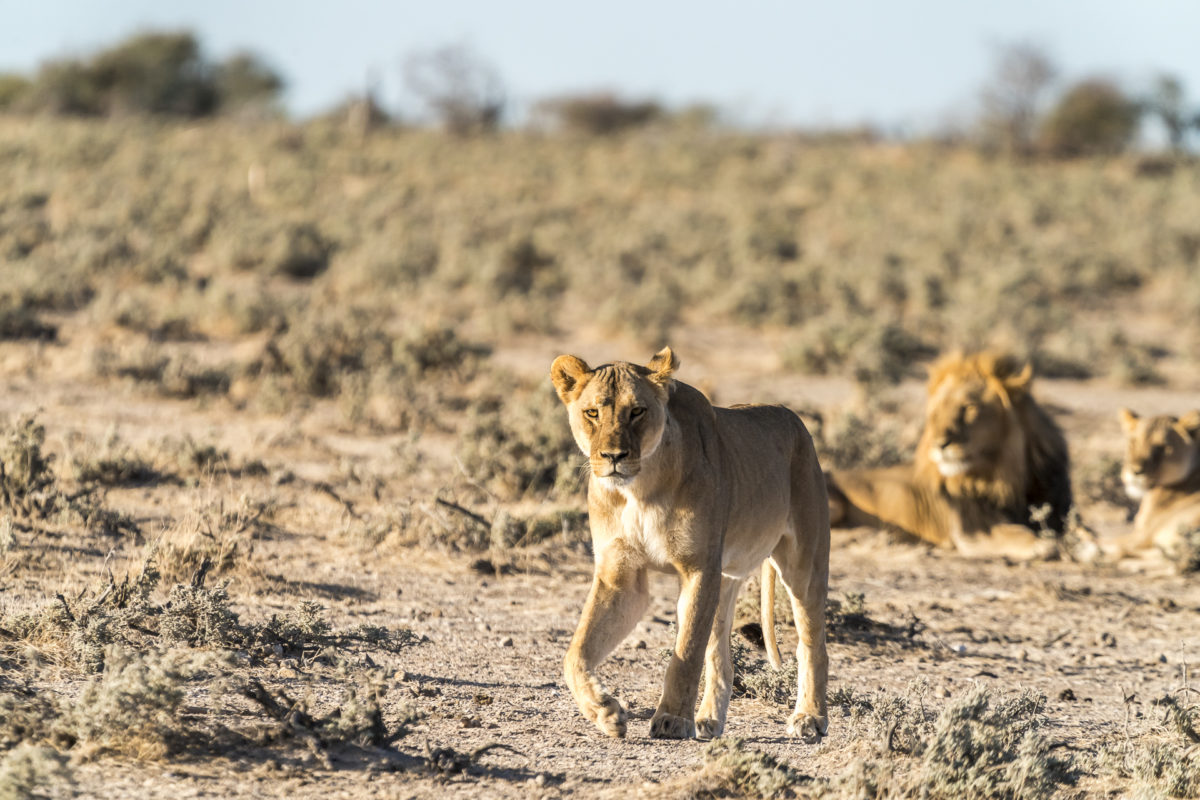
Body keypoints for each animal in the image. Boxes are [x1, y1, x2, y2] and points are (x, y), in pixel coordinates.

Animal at [549, 347, 825, 743]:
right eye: (592, 412)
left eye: (637, 411)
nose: (614, 457)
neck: (639, 491)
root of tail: (794, 419)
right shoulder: (621, 576)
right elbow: (577, 651)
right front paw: (605, 711)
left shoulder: (698, 568)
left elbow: (686, 651)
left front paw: (672, 719)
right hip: (726, 577)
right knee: (720, 654)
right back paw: (709, 720)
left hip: (803, 564)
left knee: (812, 643)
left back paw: (810, 718)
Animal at [825, 352, 1070, 561]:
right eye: (936, 412)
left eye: (969, 407)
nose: (939, 444)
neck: (1010, 475)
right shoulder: (972, 532)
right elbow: (1020, 533)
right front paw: (1043, 544)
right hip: (834, 504)